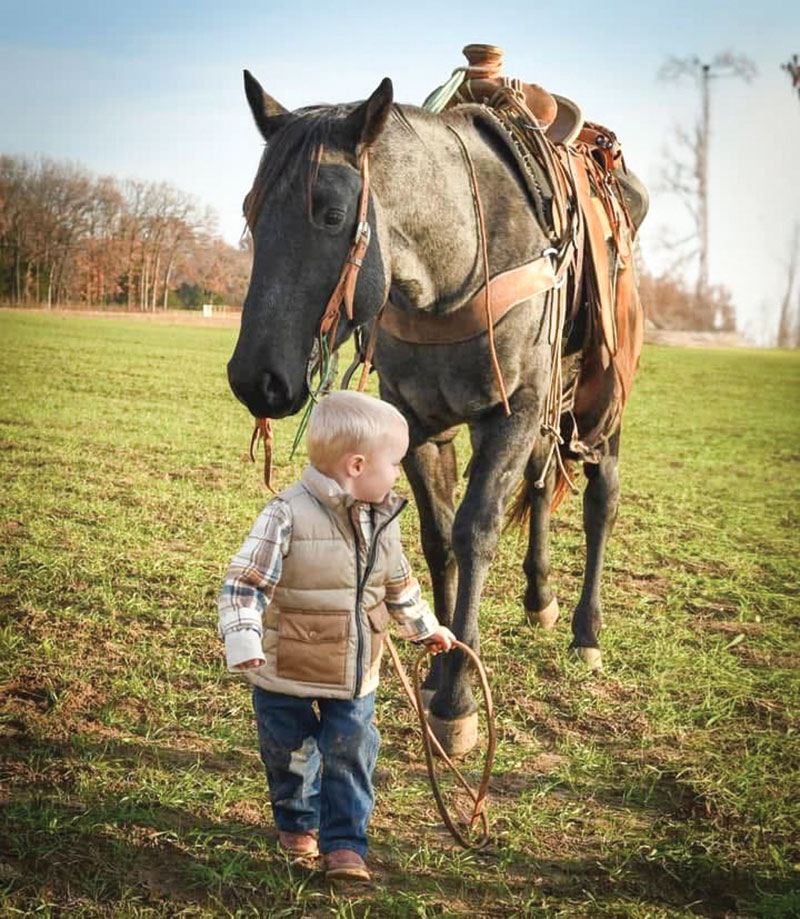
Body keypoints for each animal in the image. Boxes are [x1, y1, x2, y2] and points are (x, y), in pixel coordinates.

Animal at [223, 73, 644, 756]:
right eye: (251, 212)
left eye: (332, 214)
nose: (255, 379)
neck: (459, 266)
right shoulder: (417, 422)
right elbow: (439, 536)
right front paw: (439, 667)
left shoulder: (512, 415)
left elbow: (475, 533)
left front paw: (457, 701)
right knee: (539, 485)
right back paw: (540, 597)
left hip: (599, 406)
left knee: (600, 500)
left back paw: (587, 633)